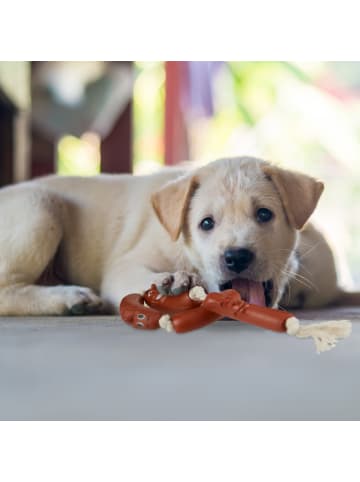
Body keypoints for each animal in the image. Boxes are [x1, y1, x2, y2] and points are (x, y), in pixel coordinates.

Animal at [0, 155, 356, 316]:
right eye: (206, 223)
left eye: (265, 214)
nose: (236, 257)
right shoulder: (124, 265)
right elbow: (139, 277)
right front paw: (173, 284)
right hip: (40, 206)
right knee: (6, 290)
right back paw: (69, 297)